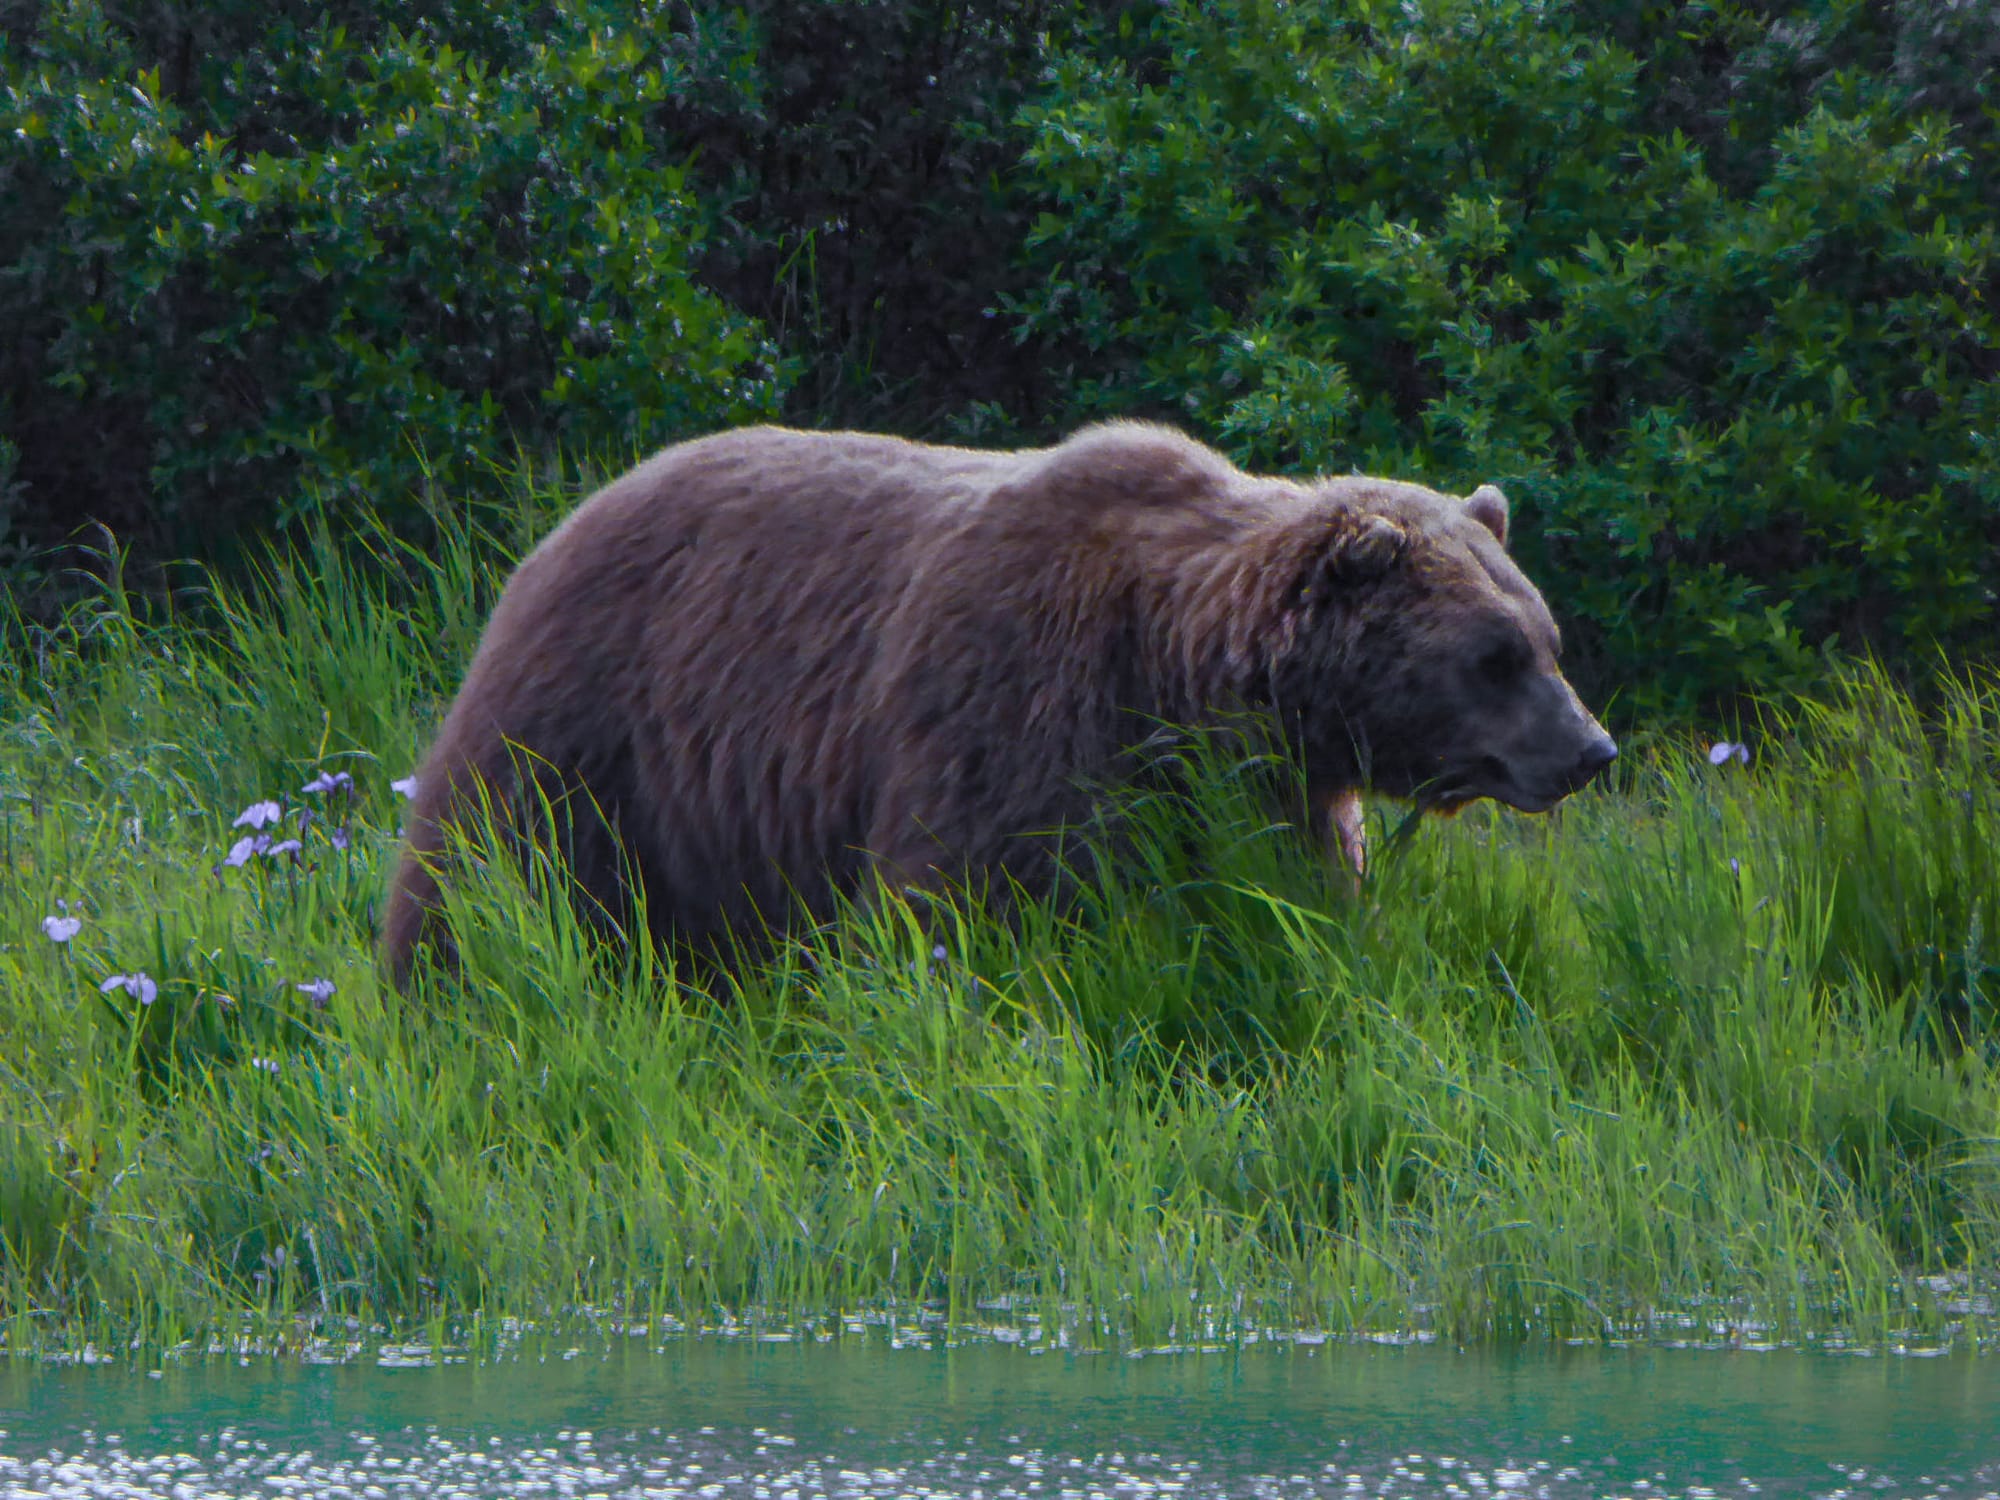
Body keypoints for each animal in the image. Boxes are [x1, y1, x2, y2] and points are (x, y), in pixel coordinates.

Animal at [382, 424, 1616, 988]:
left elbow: (1291, 910)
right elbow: (971, 905)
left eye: (1548, 638)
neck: (1183, 676)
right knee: (492, 872)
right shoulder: (1017, 700)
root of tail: (560, 525)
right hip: (597, 731)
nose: (1590, 749)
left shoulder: (1263, 794)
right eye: (1495, 655)